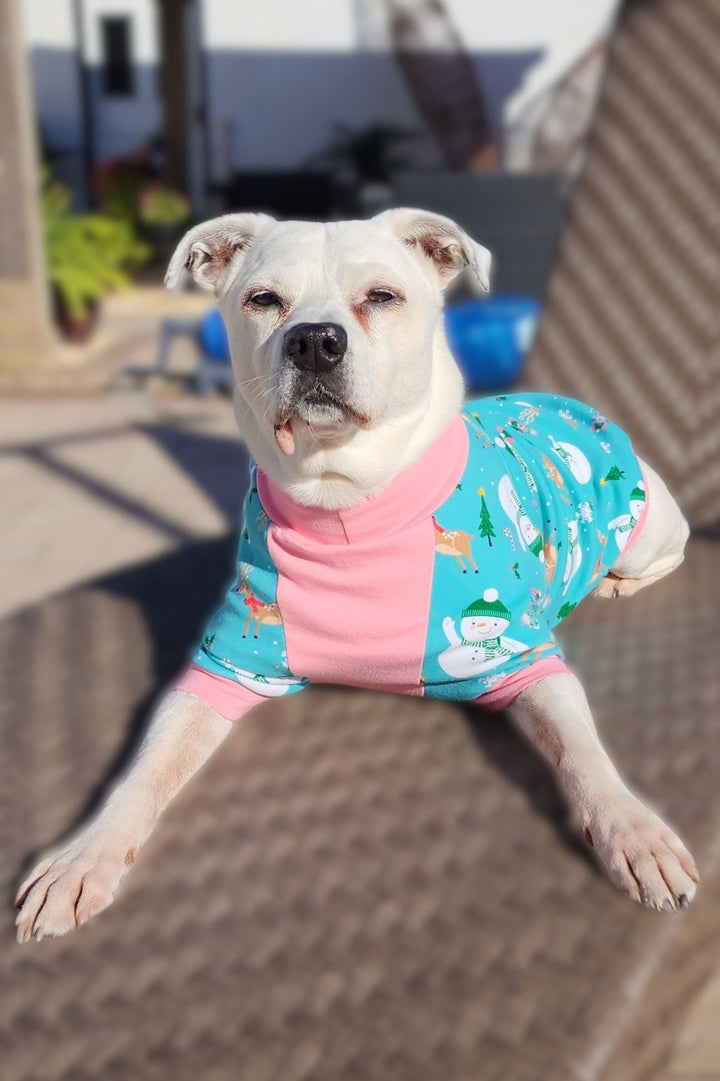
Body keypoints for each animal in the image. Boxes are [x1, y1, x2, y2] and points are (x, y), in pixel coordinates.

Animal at [14, 208, 691, 938]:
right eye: (263, 300)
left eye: (382, 297)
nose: (314, 340)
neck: (343, 502)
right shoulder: (223, 669)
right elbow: (144, 772)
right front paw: (84, 855)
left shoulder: (526, 662)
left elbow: (583, 754)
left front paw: (634, 832)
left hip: (646, 530)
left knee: (668, 553)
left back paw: (616, 582)